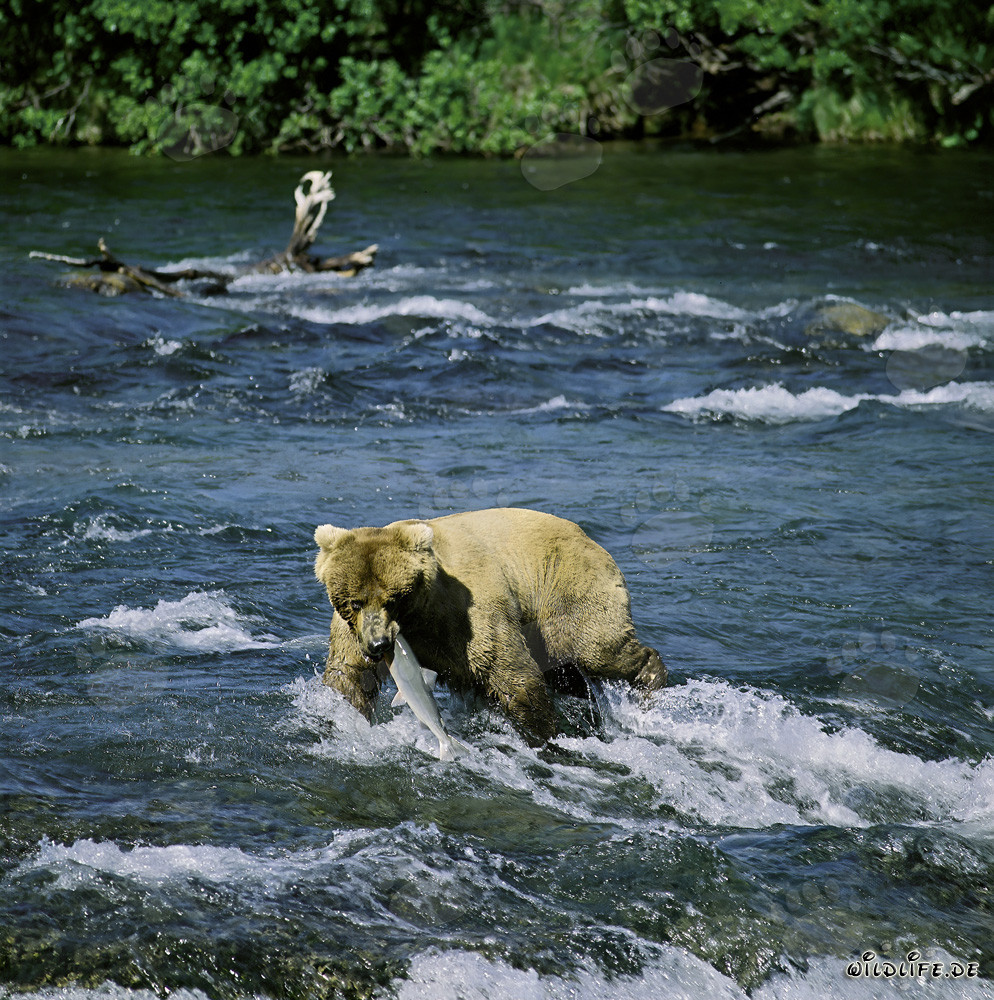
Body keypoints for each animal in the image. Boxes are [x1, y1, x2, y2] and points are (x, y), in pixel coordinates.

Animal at [313, 507, 666, 744]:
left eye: (393, 599)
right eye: (355, 601)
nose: (379, 645)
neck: (420, 618)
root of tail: (592, 539)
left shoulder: (467, 614)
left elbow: (512, 675)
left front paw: (544, 734)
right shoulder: (351, 631)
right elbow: (349, 677)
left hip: (566, 588)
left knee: (596, 648)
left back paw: (649, 681)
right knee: (565, 671)